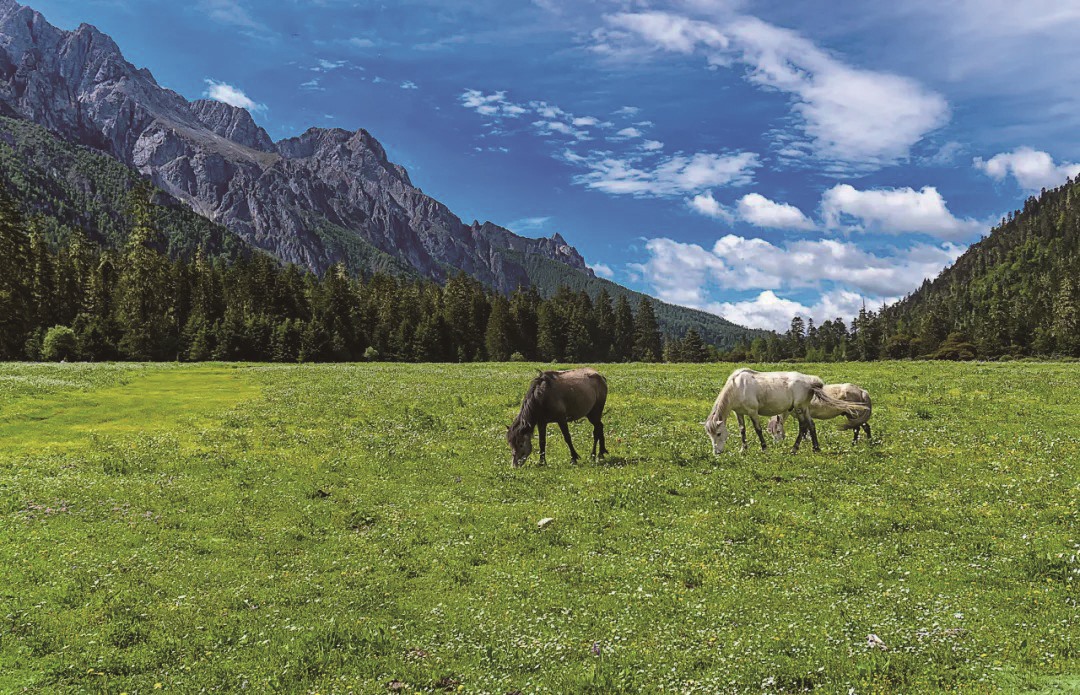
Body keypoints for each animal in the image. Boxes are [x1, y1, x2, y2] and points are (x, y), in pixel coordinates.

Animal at [703, 368, 868, 454]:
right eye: (710, 435)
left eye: (719, 433)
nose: (716, 452)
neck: (737, 386)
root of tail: (810, 382)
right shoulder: (739, 413)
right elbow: (742, 430)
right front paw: (743, 449)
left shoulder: (753, 412)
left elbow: (757, 430)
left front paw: (764, 448)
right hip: (805, 408)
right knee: (811, 425)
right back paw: (816, 448)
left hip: (799, 408)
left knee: (803, 426)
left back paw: (794, 449)